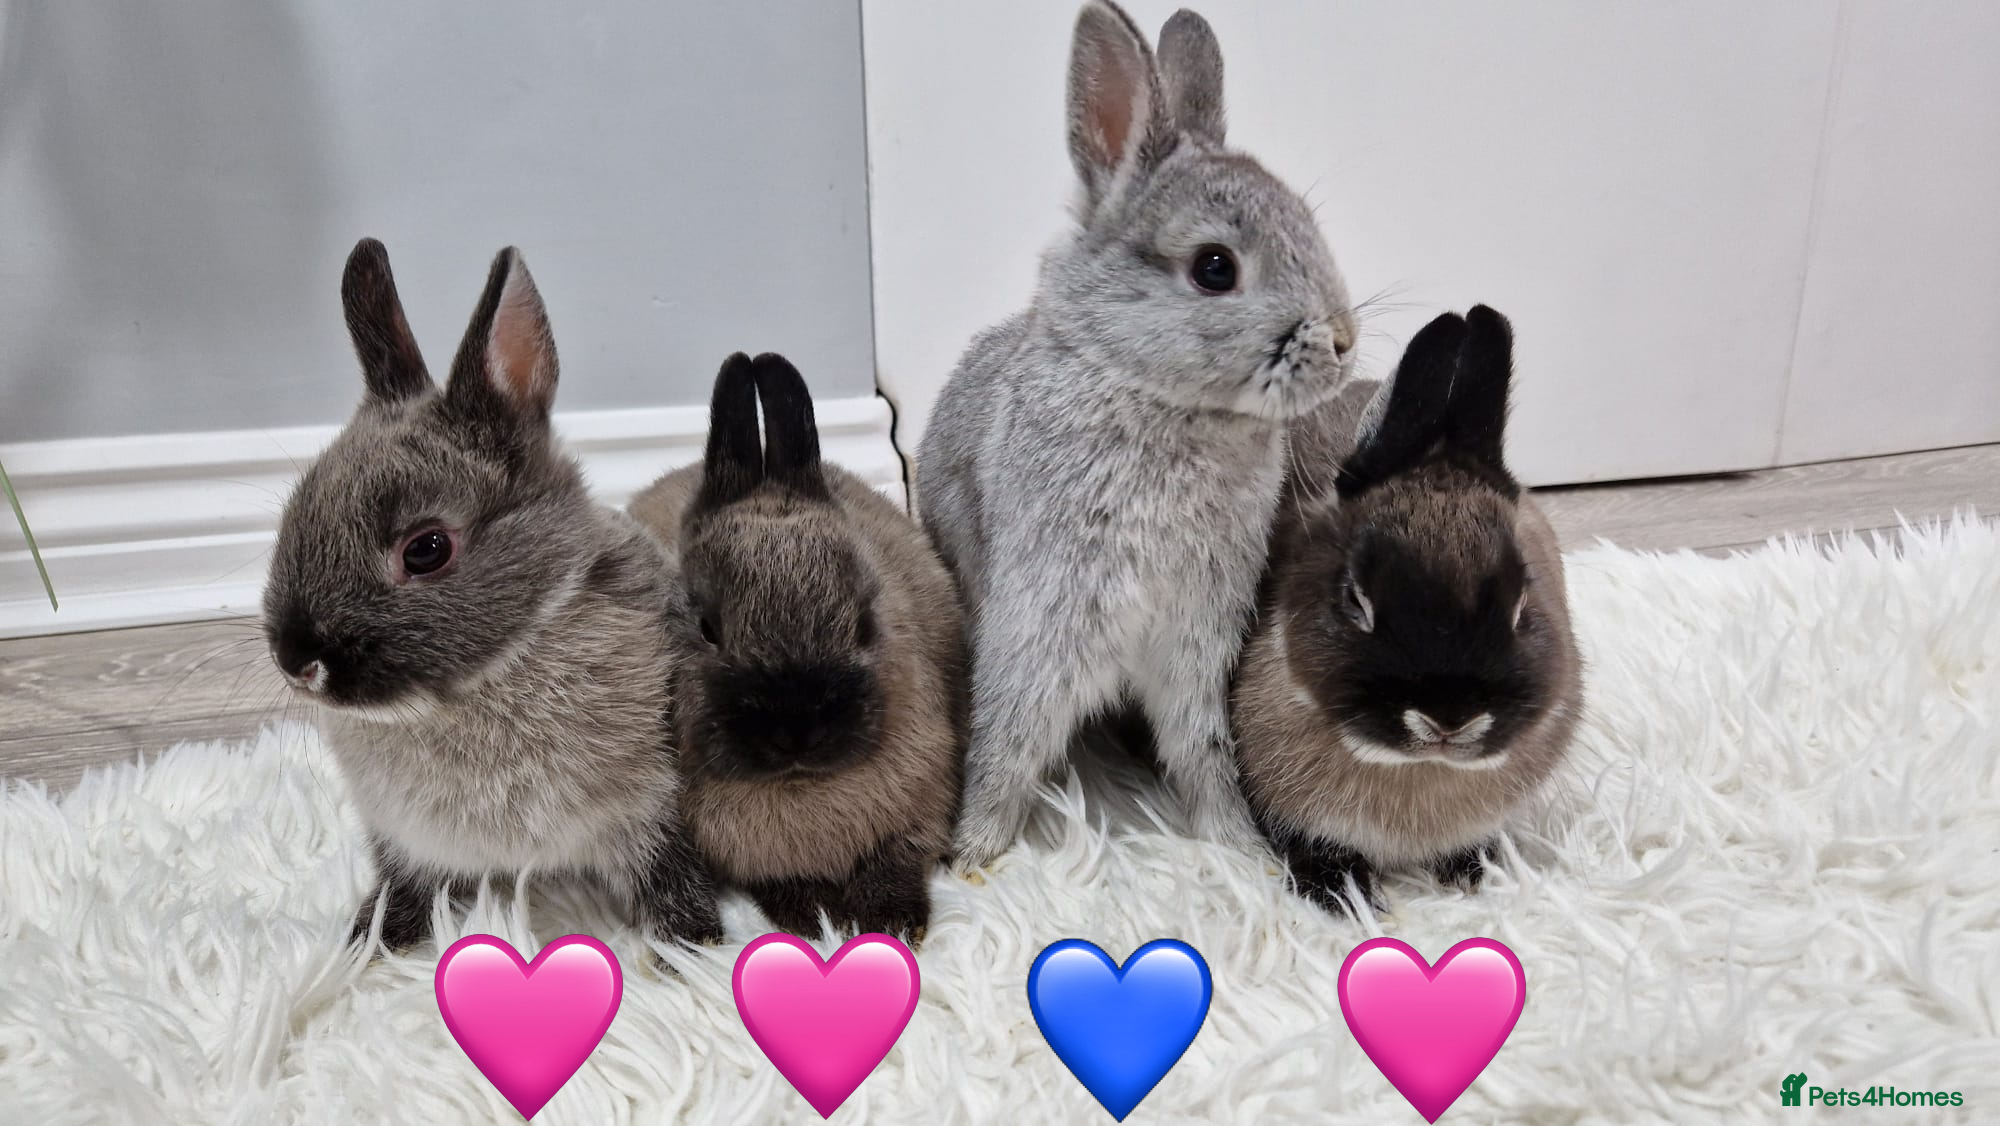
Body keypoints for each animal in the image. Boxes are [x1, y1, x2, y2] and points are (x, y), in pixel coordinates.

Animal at [263, 238, 723, 953]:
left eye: (426, 549)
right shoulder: (405, 840)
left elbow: (669, 879)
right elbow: (403, 885)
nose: (296, 660)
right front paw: (367, 944)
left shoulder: (653, 809)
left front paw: (695, 949)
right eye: (294, 515)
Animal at [626, 353, 966, 942]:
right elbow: (781, 882)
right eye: (707, 627)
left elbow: (897, 861)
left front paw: (892, 923)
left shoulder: (923, 801)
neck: (799, 784)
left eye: (865, 621)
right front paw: (819, 918)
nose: (796, 732)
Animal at [914, 1, 1360, 868]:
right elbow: (1011, 740)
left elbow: (1201, 748)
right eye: (1215, 268)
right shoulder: (1043, 620)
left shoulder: (1197, 644)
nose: (1344, 342)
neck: (1158, 398)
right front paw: (975, 852)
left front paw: (1238, 848)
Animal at [1231, 305, 1582, 917]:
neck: (1418, 770)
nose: (1449, 717)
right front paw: (1343, 895)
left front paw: (1473, 871)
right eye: (1355, 599)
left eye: (1522, 602)